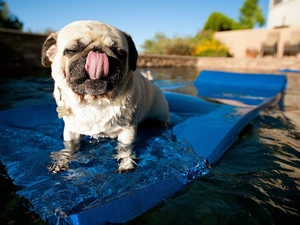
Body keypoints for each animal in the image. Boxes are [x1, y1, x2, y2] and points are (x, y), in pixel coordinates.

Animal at [41, 20, 170, 172]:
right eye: (72, 50)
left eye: (120, 53)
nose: (97, 51)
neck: (94, 102)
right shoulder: (71, 131)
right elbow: (69, 147)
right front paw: (62, 160)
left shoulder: (127, 131)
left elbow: (125, 150)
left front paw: (126, 164)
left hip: (160, 110)